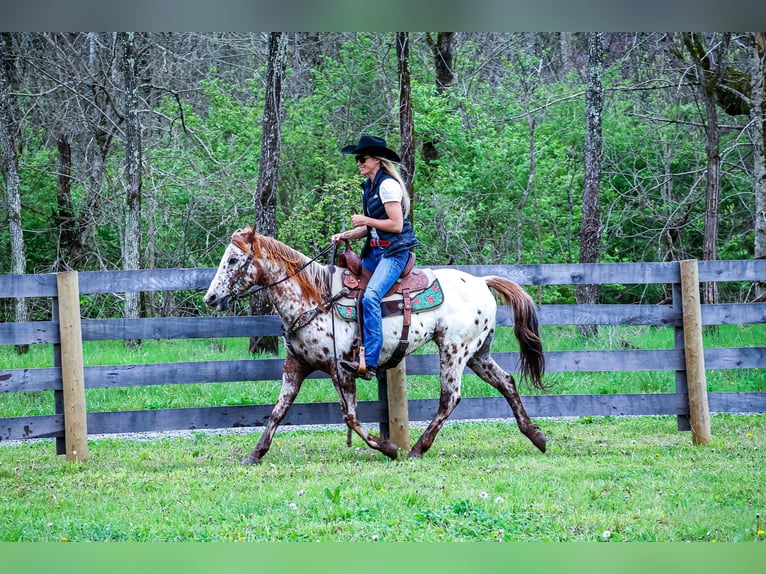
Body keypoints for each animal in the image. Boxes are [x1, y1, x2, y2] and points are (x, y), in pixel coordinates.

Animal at [204, 227, 548, 466]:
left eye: (233, 259)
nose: (210, 298)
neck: (314, 299)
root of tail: (481, 281)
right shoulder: (296, 365)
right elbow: (278, 411)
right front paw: (255, 453)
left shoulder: (341, 370)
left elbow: (350, 417)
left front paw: (388, 448)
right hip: (478, 353)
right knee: (507, 382)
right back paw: (537, 436)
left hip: (454, 350)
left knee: (450, 398)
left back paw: (416, 449)